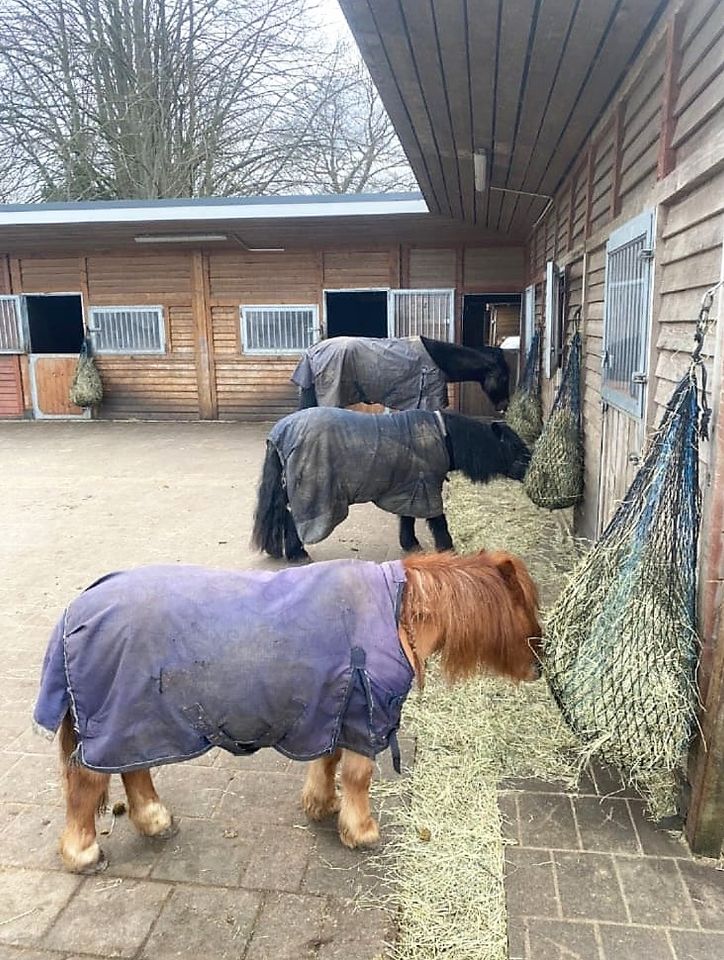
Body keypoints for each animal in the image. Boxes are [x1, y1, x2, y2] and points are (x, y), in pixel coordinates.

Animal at [43, 548, 536, 872]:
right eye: (523, 603)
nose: (538, 660)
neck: (394, 610)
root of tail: (74, 612)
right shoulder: (364, 718)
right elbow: (358, 775)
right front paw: (361, 831)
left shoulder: (334, 707)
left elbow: (328, 760)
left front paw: (322, 804)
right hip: (115, 720)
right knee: (88, 781)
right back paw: (83, 854)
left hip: (136, 720)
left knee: (133, 767)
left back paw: (154, 820)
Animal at [252, 406, 528, 564]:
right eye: (514, 446)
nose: (529, 466)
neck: (443, 437)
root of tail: (279, 432)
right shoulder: (426, 488)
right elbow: (438, 522)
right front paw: (448, 549)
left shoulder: (410, 488)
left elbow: (407, 517)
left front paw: (410, 544)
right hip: (308, 490)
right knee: (293, 517)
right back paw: (297, 553)